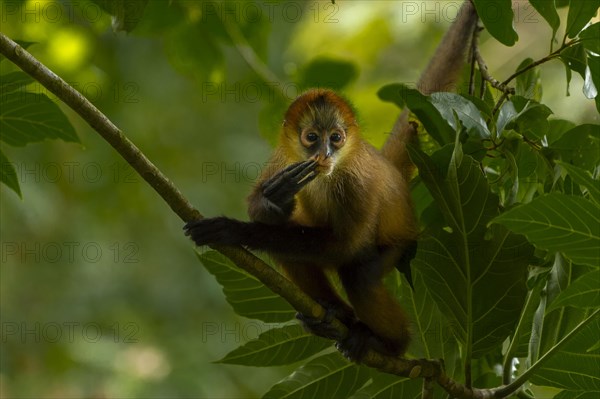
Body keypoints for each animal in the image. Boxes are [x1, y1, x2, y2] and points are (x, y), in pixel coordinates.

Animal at [188, 0, 478, 360]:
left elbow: (345, 246)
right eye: (313, 137)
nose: (325, 153)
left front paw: (233, 230)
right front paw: (274, 199)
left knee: (358, 275)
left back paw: (389, 343)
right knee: (288, 248)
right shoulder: (286, 158)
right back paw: (338, 313)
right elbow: (264, 210)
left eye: (336, 138)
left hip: (400, 245)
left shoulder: (358, 180)